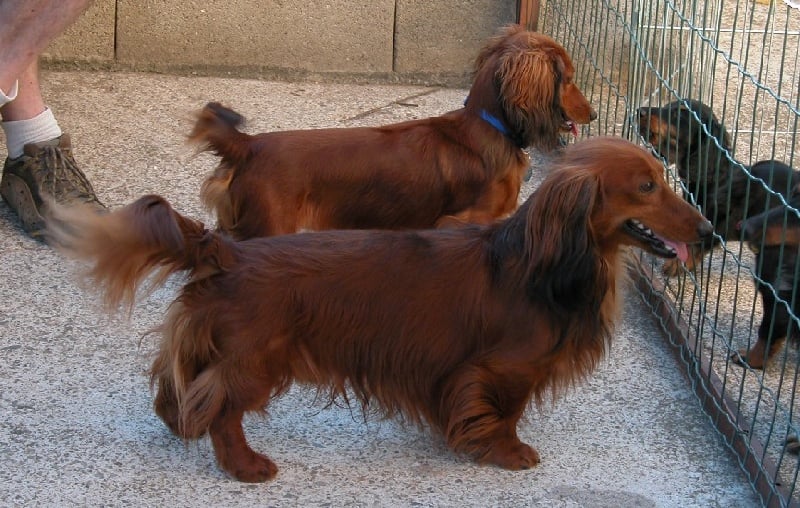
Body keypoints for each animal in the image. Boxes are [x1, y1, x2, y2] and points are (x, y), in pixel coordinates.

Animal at [48, 137, 712, 482]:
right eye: (646, 187)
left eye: (664, 176)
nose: (710, 234)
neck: (542, 266)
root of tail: (227, 250)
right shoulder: (500, 369)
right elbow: (501, 411)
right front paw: (505, 451)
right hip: (255, 363)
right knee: (218, 409)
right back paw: (246, 465)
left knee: (177, 388)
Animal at [637, 99, 798, 276]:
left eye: (681, 112)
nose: (639, 112)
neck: (716, 179)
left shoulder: (715, 222)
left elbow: (695, 244)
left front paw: (677, 264)